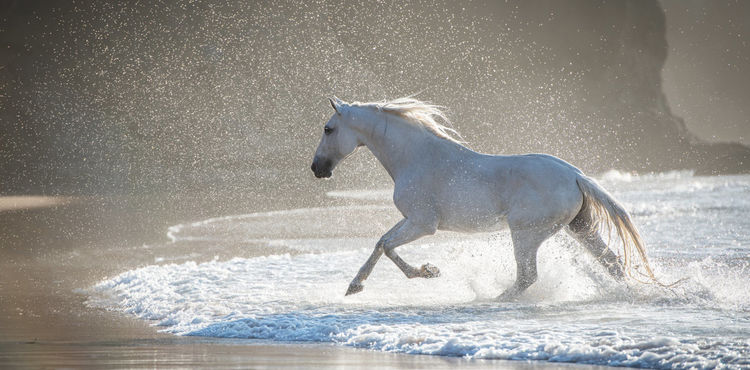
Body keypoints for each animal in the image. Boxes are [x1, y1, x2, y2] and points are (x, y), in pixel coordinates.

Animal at [308, 97, 656, 300]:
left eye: (328, 129)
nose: (317, 169)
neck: (416, 156)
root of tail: (575, 175)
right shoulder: (410, 220)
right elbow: (381, 243)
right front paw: (355, 286)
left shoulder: (422, 224)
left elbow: (388, 247)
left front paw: (427, 271)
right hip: (578, 228)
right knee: (612, 263)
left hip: (526, 234)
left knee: (528, 276)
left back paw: (496, 299)